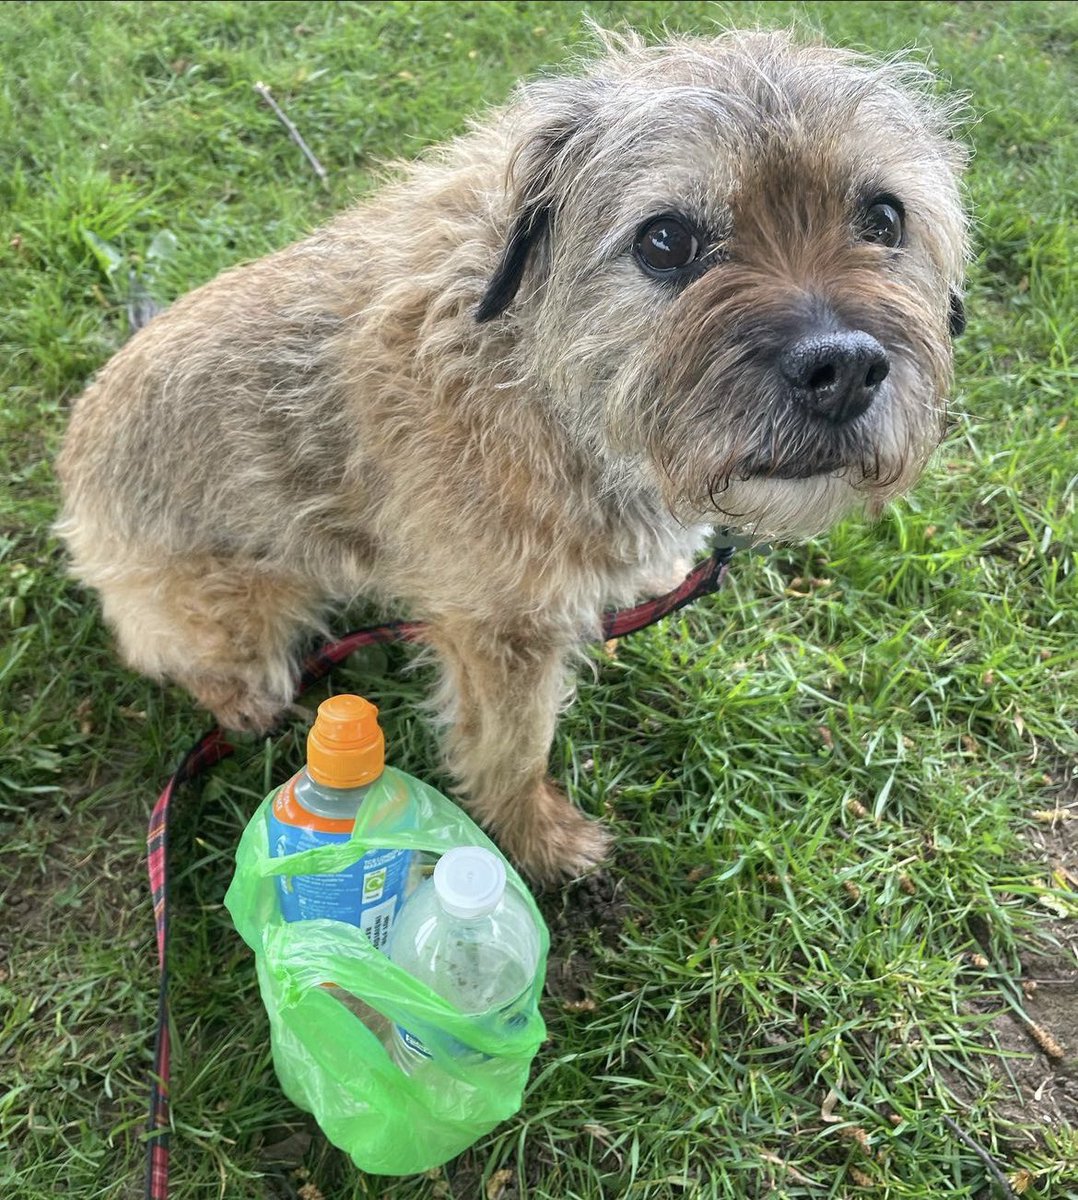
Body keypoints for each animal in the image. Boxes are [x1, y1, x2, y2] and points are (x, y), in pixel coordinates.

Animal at [56, 25, 965, 883]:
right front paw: (535, 840)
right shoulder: (501, 633)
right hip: (237, 604)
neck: (541, 377)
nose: (843, 370)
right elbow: (514, 747)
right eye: (665, 240)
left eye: (884, 219)